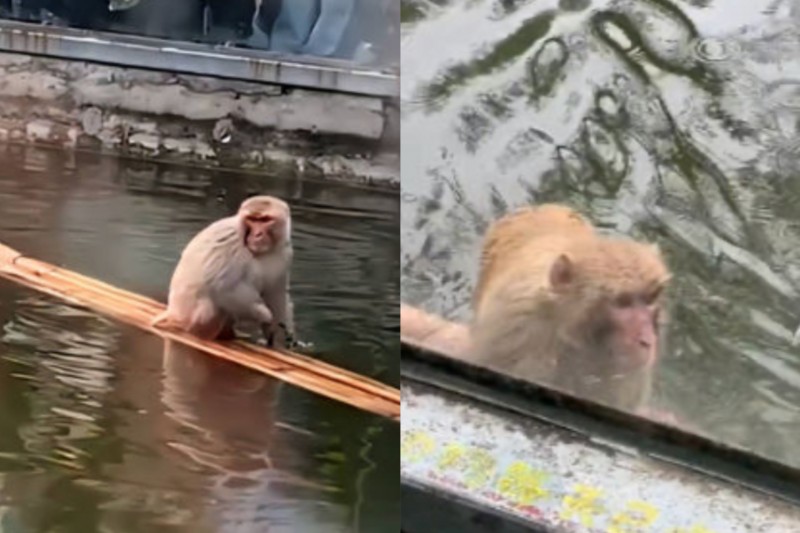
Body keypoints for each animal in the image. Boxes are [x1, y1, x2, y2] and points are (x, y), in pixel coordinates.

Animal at [152, 195, 294, 350]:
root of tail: (173, 313)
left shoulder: (285, 252)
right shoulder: (230, 239)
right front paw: (264, 314)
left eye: (265, 219)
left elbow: (276, 293)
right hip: (190, 320)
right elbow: (222, 290)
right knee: (213, 303)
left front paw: (277, 335)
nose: (257, 234)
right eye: (252, 219)